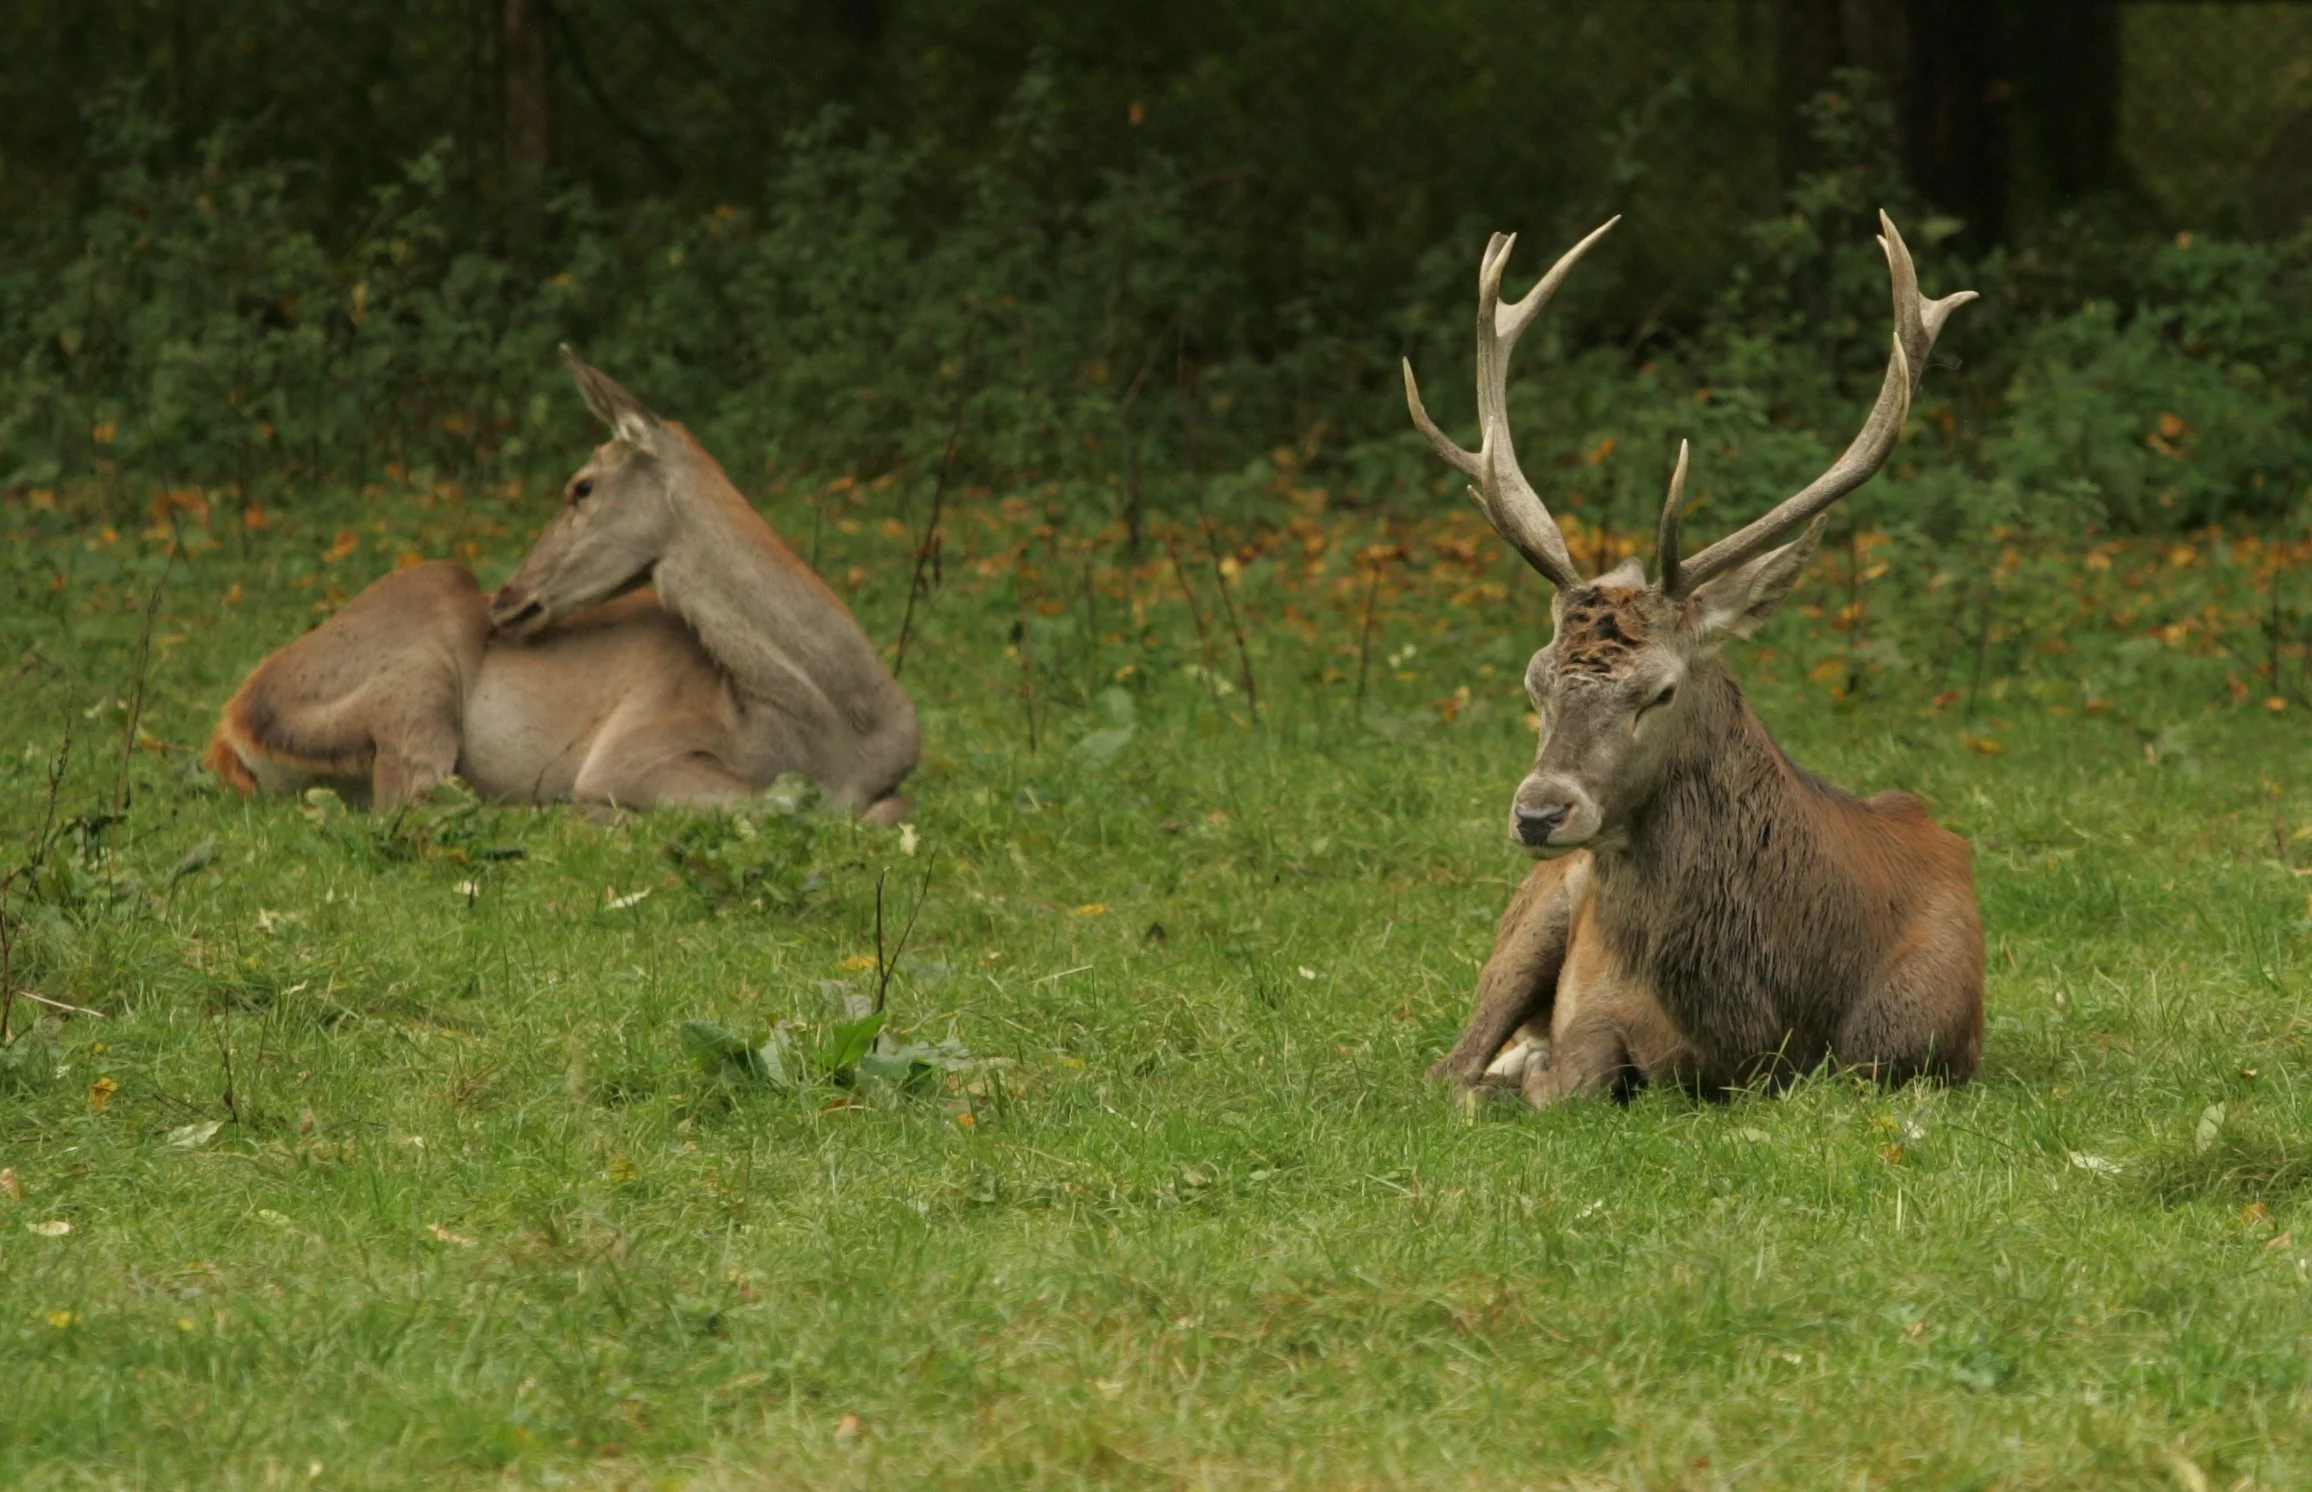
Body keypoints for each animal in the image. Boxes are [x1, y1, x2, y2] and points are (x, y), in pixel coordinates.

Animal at [203, 344, 915, 818]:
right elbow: (782, 804)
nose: (508, 597)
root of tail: (232, 730)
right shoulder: (633, 747)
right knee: (410, 800)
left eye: (582, 486)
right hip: (420, 669)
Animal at [1405, 215, 1988, 1101]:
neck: (1759, 1022)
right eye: (1536, 681)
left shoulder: (1924, 1042)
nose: (1539, 812)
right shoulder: (1599, 1004)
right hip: (1538, 909)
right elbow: (1566, 1078)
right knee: (1450, 1065)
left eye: (1662, 691)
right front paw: (1534, 1069)